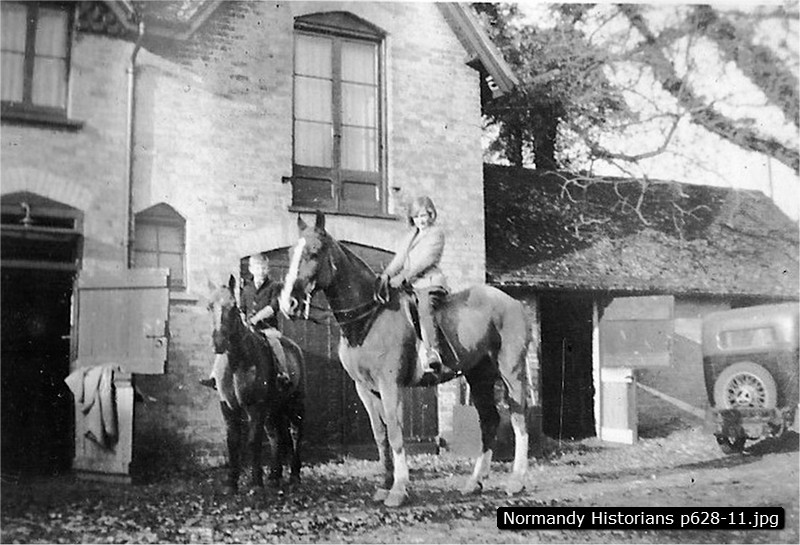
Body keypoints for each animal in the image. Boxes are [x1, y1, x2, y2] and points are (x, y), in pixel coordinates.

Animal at [208, 275, 305, 492]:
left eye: (233, 307)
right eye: (210, 306)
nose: (219, 342)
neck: (238, 362)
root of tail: (295, 348)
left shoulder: (256, 408)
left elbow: (253, 441)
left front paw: (256, 483)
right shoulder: (228, 407)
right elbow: (233, 442)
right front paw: (232, 483)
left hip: (294, 404)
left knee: (295, 433)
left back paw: (294, 476)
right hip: (275, 408)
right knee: (277, 436)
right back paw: (275, 476)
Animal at [279, 212, 532, 507]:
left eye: (315, 251)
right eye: (290, 252)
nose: (288, 304)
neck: (369, 317)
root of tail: (512, 302)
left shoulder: (391, 386)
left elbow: (396, 432)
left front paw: (399, 489)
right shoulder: (365, 389)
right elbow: (380, 436)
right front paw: (383, 486)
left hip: (511, 371)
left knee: (518, 419)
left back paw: (516, 481)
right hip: (479, 375)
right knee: (489, 421)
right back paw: (474, 482)